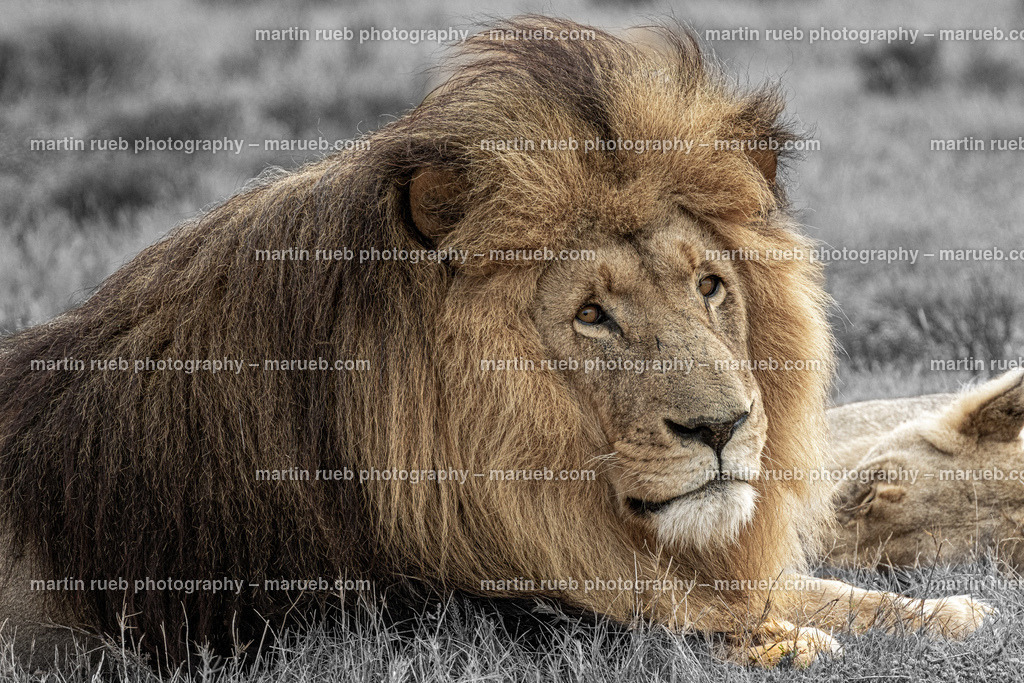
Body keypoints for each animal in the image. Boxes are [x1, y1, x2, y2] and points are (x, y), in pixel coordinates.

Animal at [0, 16, 991, 669]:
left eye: (710, 287)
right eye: (591, 315)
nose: (723, 427)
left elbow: (826, 592)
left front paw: (949, 608)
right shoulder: (397, 618)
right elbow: (645, 624)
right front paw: (787, 641)